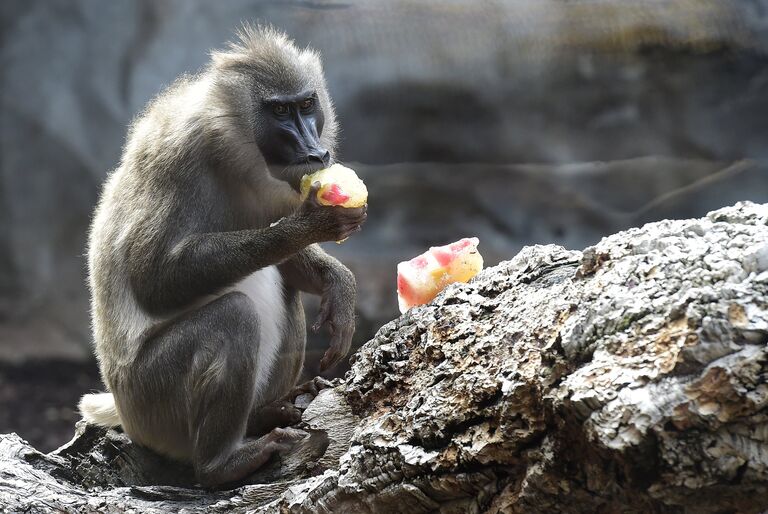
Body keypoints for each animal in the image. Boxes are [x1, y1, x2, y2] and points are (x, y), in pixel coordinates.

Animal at [79, 24, 368, 486]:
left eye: (307, 105)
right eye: (280, 112)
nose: (315, 151)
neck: (231, 148)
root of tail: (126, 413)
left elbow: (288, 260)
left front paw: (339, 286)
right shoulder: (179, 157)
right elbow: (152, 279)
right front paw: (315, 223)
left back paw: (262, 416)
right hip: (153, 402)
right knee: (232, 317)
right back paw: (221, 464)